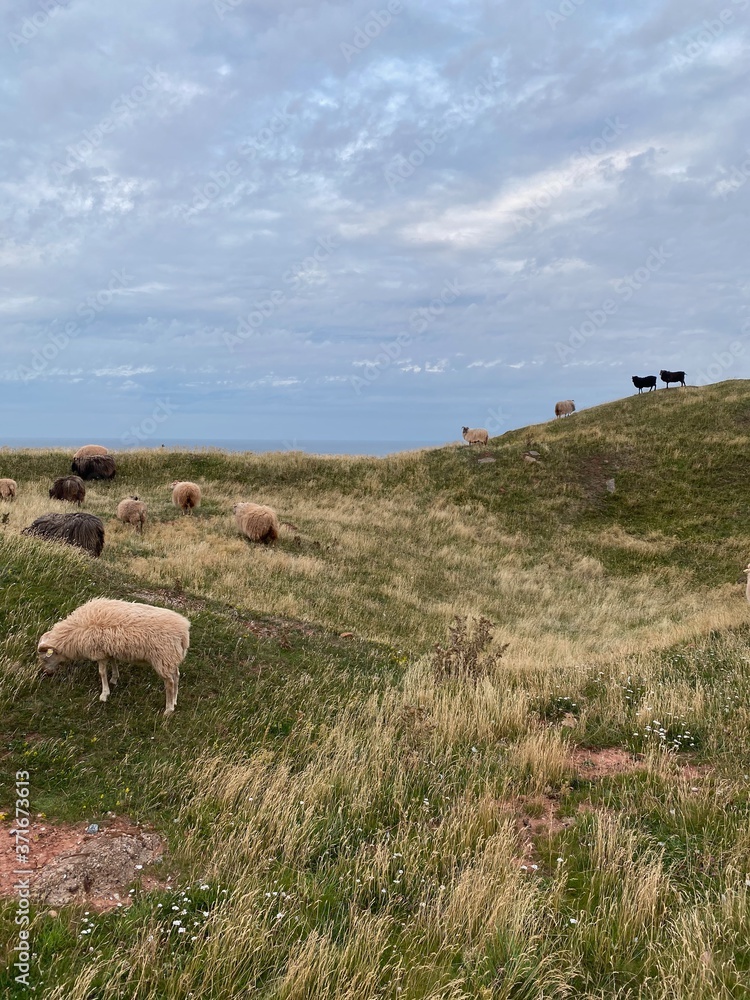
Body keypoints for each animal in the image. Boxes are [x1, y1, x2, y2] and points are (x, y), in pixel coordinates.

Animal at [37, 598, 190, 715]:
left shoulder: (98, 652)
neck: (73, 633)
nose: (46, 673)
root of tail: (183, 631)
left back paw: (168, 709)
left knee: (169, 682)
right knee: (176, 676)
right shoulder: (108, 649)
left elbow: (102, 672)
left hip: (162, 658)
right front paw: (114, 679)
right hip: (171, 658)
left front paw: (104, 694)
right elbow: (114, 662)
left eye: (45, 658)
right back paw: (175, 700)